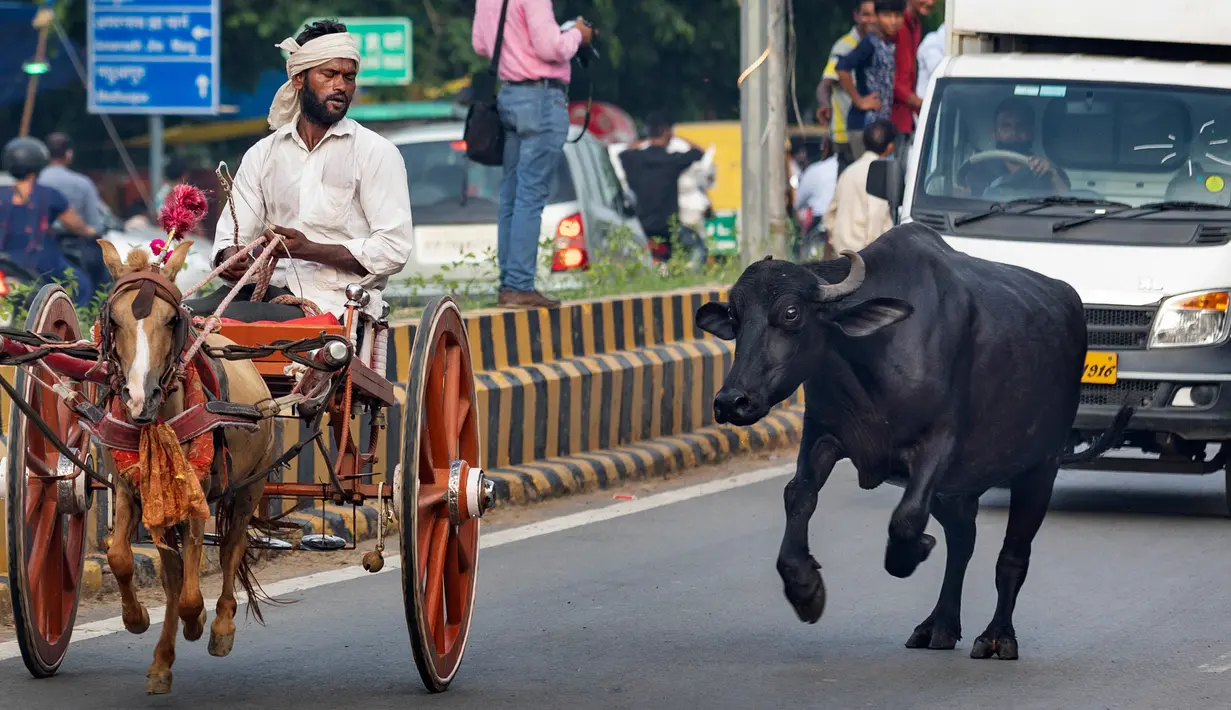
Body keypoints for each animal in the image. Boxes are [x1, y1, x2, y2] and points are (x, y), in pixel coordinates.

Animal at [96, 241, 279, 694]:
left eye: (171, 319)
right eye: (114, 320)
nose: (139, 397)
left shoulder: (196, 493)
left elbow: (194, 589)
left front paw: (197, 622)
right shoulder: (129, 488)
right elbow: (121, 557)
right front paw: (135, 619)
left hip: (250, 485)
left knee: (231, 549)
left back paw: (221, 626)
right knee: (175, 576)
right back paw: (162, 660)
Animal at [699, 222, 1127, 659]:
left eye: (790, 313)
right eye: (735, 316)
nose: (732, 400)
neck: (870, 359)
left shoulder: (939, 443)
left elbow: (907, 519)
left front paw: (912, 552)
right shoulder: (822, 433)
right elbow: (798, 495)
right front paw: (805, 590)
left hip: (1040, 468)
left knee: (1012, 555)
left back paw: (997, 636)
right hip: (959, 488)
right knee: (963, 542)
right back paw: (938, 626)